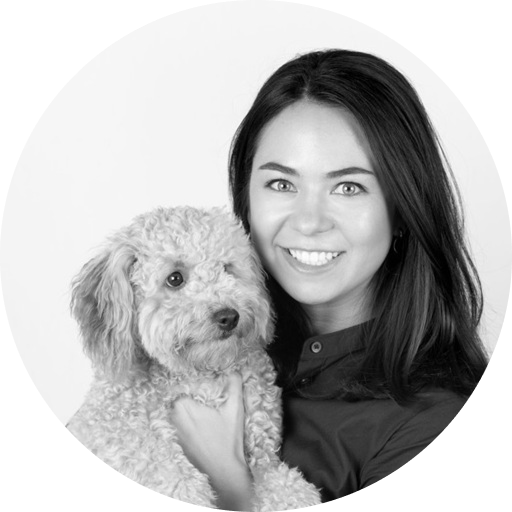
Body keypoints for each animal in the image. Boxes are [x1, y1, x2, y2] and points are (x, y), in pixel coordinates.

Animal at [66, 206, 321, 510]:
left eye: (227, 268)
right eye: (175, 278)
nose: (229, 316)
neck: (201, 373)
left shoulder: (263, 453)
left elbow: (282, 483)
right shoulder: (120, 430)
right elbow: (172, 472)